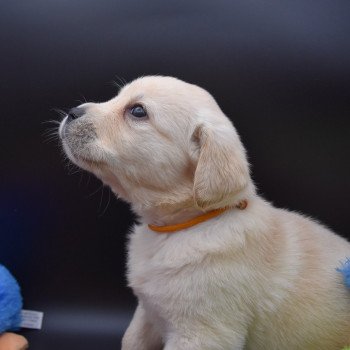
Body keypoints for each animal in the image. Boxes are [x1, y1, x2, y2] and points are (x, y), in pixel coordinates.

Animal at [58, 75, 348, 348]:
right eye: (118, 97)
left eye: (138, 111)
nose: (72, 112)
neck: (182, 227)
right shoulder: (147, 312)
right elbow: (131, 340)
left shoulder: (201, 334)